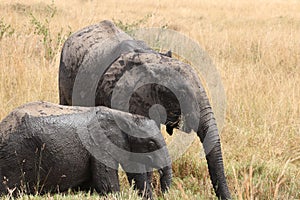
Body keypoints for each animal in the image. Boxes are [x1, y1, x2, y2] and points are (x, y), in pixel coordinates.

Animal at [0, 102, 172, 199]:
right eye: (151, 144)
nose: (163, 195)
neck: (124, 117)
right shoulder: (99, 146)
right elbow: (107, 184)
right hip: (15, 155)